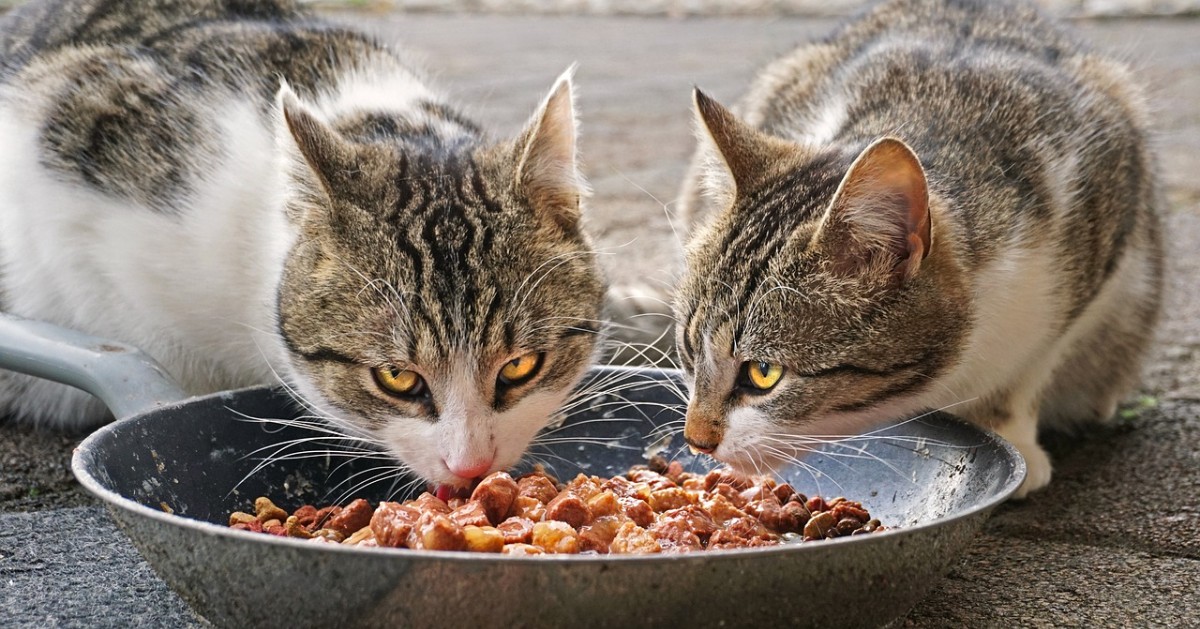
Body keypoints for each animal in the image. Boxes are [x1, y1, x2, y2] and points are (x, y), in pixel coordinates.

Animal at [672, 0, 1156, 496]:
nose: (696, 440)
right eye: (689, 349)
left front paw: (1011, 434)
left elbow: (1030, 368)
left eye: (763, 372)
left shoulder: (1102, 221)